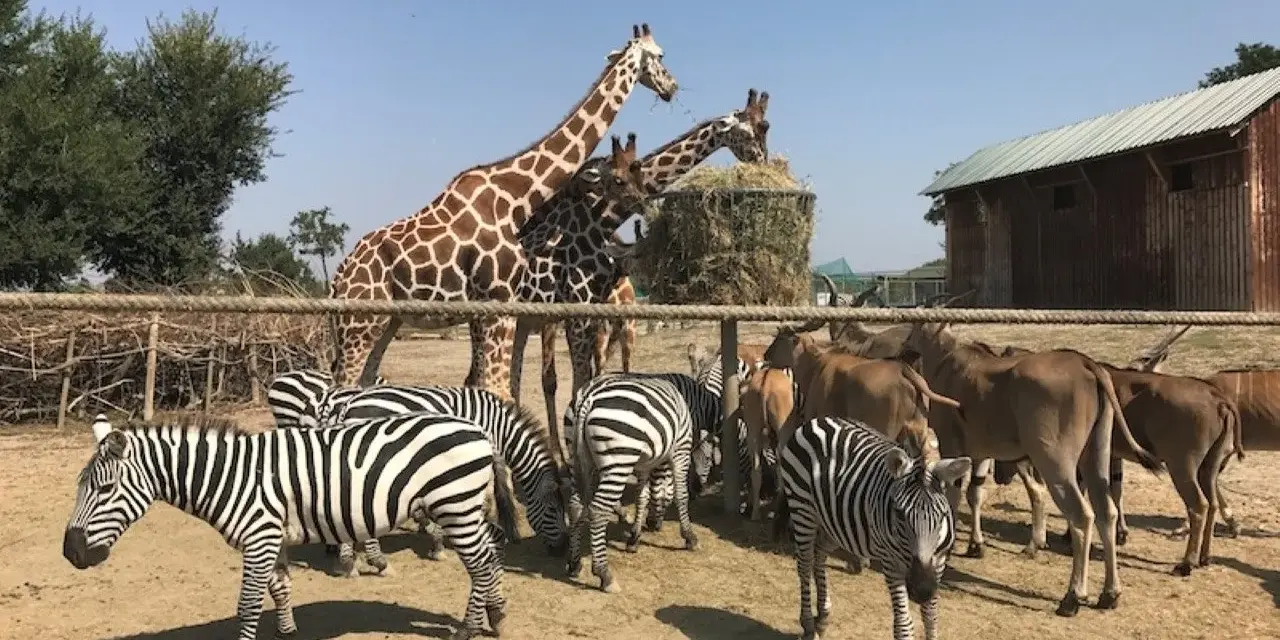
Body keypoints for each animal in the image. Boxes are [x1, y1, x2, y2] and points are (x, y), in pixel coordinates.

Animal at [328, 24, 679, 393]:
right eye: (659, 55)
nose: (671, 86)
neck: (517, 198)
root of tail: (337, 279)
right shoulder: (498, 302)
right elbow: (497, 390)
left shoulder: (491, 309)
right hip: (359, 323)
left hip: (388, 320)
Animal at [510, 88, 773, 436]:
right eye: (758, 128)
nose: (764, 161)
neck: (601, 218)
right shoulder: (578, 305)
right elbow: (579, 380)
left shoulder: (593, 307)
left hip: (529, 319)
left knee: (516, 377)